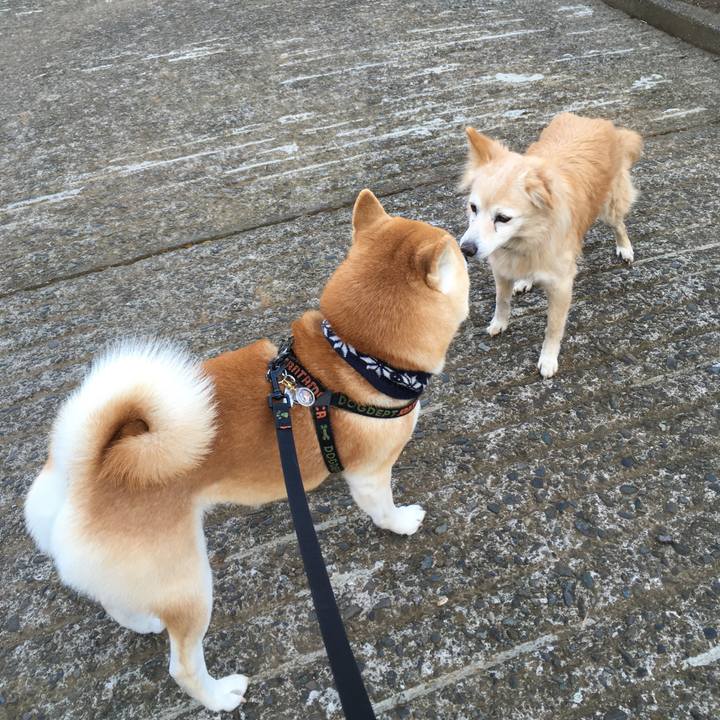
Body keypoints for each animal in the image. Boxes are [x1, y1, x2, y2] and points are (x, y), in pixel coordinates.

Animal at [24, 189, 469, 712]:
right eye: (462, 256)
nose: (470, 246)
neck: (354, 357)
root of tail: (86, 469)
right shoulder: (370, 474)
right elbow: (383, 508)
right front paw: (401, 522)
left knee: (117, 601)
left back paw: (144, 621)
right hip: (189, 583)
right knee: (183, 664)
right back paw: (220, 695)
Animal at [459, 112, 642, 378]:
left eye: (503, 218)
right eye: (473, 208)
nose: (465, 249)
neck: (528, 238)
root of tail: (592, 119)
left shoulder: (561, 285)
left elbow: (553, 327)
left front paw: (548, 359)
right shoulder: (502, 269)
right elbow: (501, 301)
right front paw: (499, 323)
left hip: (610, 205)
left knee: (619, 224)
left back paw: (625, 247)